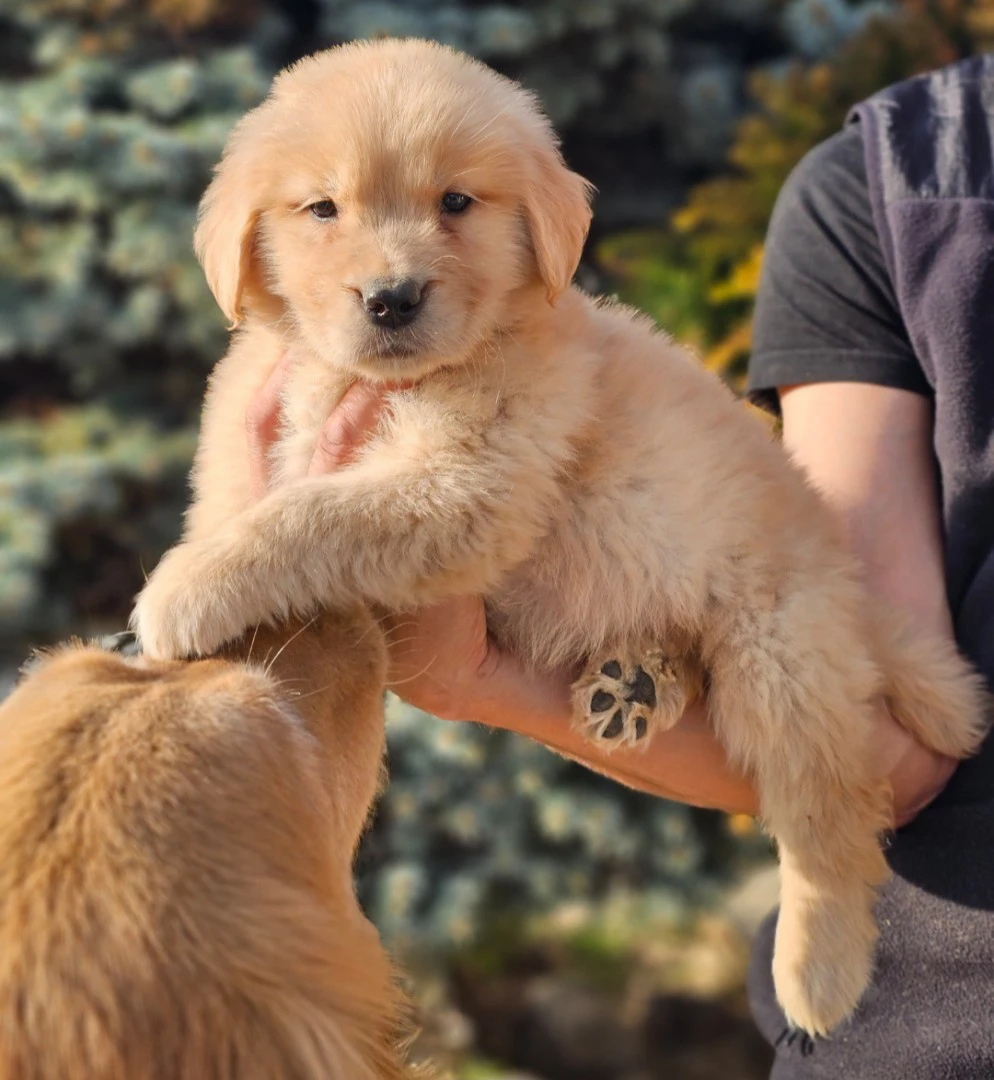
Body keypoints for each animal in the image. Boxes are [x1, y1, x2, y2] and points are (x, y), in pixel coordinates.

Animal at [131, 42, 985, 1036]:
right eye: (322, 209)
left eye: (456, 202)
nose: (392, 298)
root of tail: (849, 584)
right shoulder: (251, 447)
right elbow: (250, 509)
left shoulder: (463, 487)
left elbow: (309, 513)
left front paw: (185, 591)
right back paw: (636, 685)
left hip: (780, 660)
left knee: (832, 821)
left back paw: (820, 970)